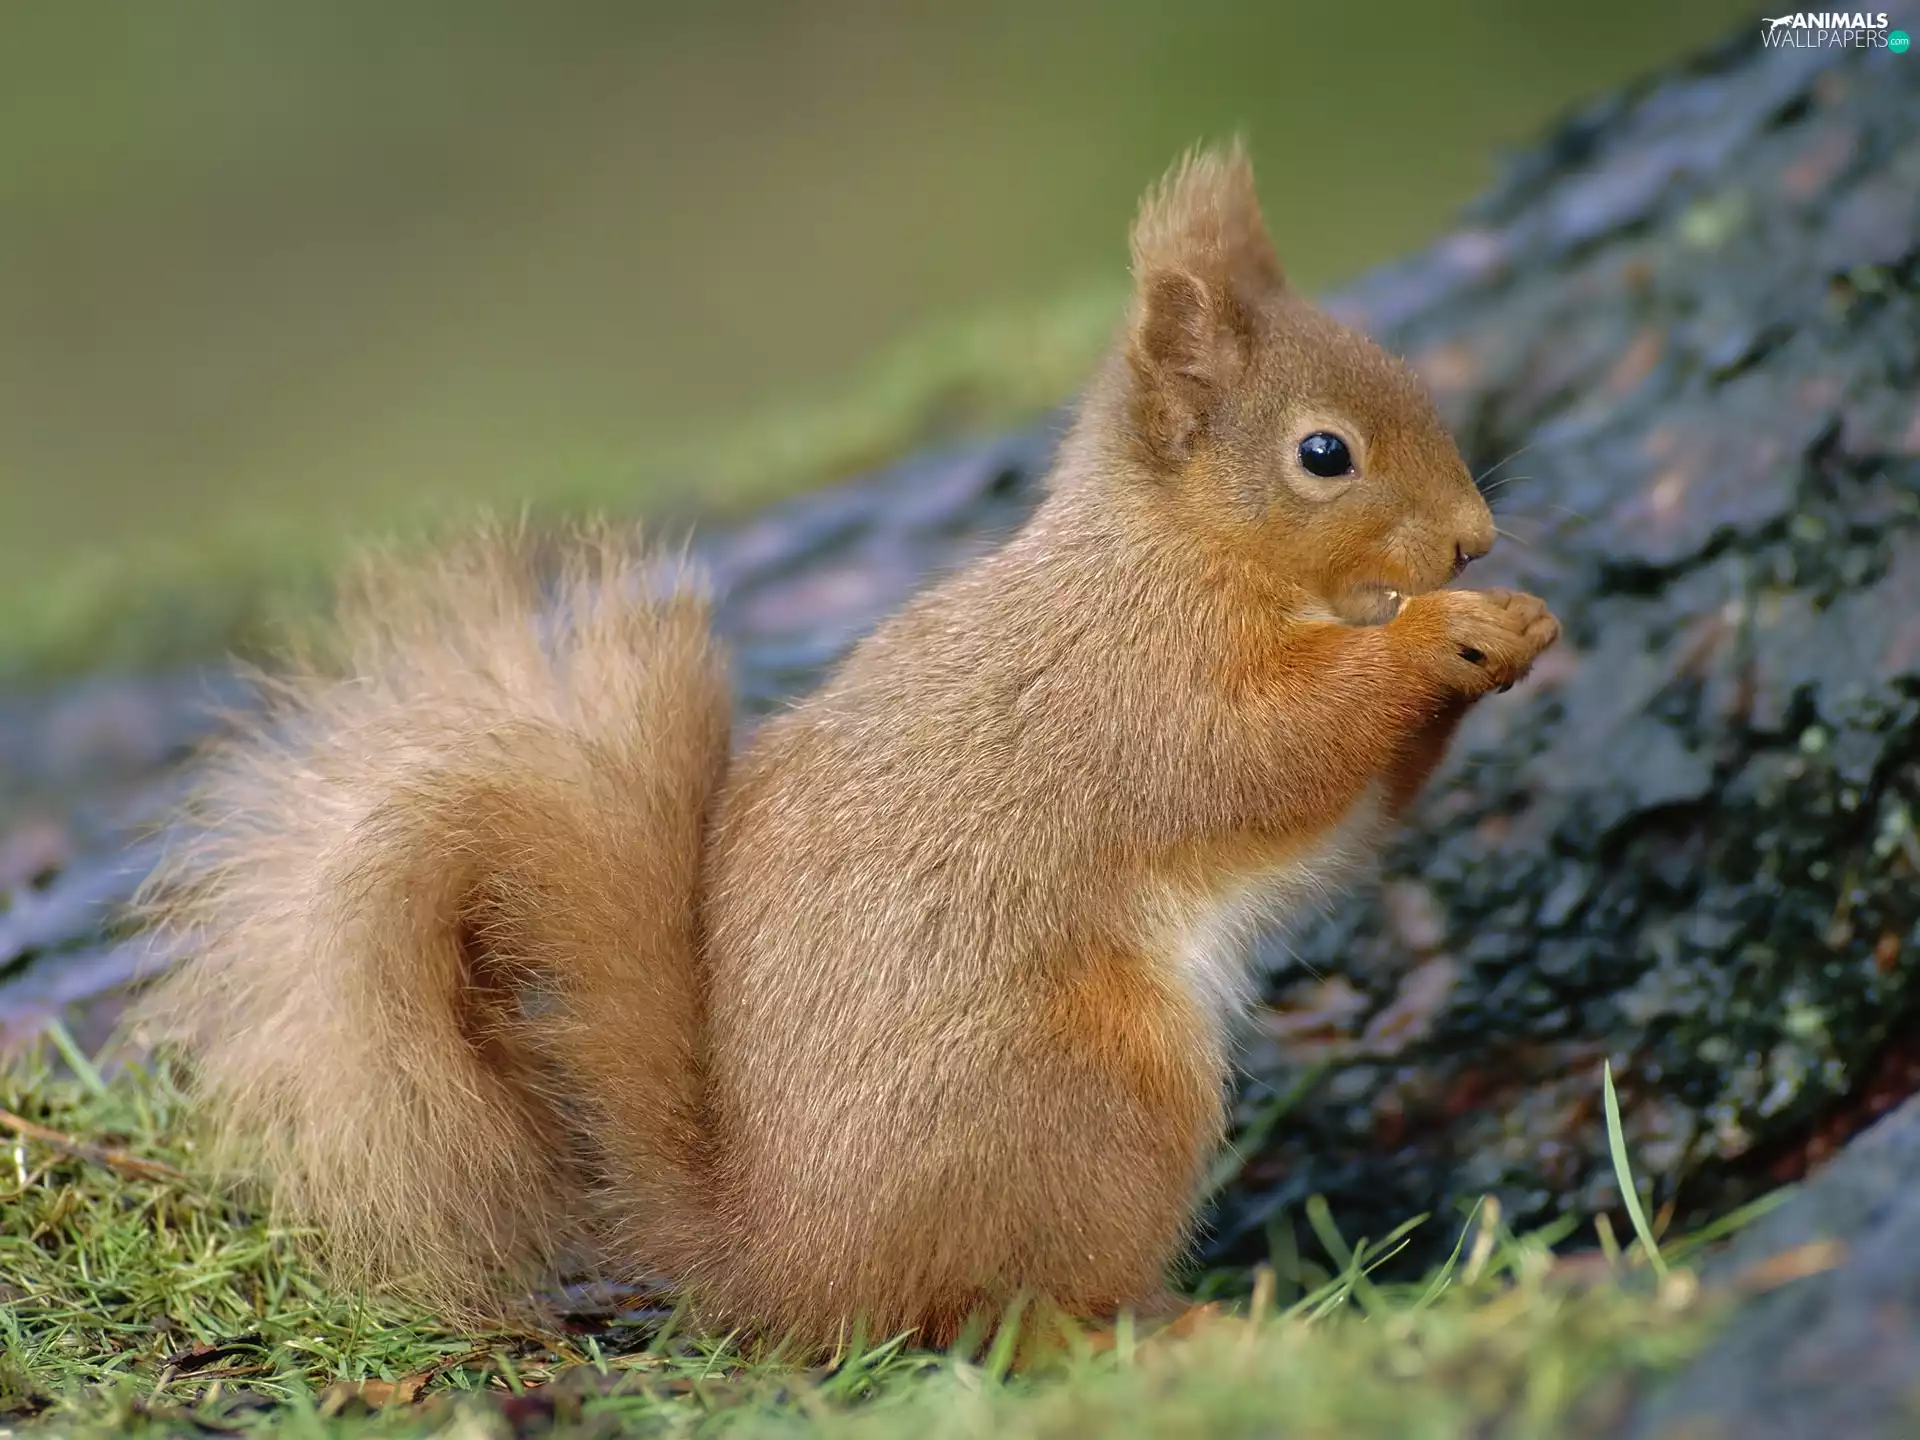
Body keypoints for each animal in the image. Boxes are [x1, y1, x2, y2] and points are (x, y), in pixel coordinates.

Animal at [141, 144, 1559, 1351]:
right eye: (1324, 453)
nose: (1473, 540)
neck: (1176, 552)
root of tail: (792, 1264)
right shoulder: (1144, 693)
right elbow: (1274, 753)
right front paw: (1444, 635)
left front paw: (1517, 629)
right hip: (1098, 1094)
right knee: (1004, 1318)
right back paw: (1181, 1326)